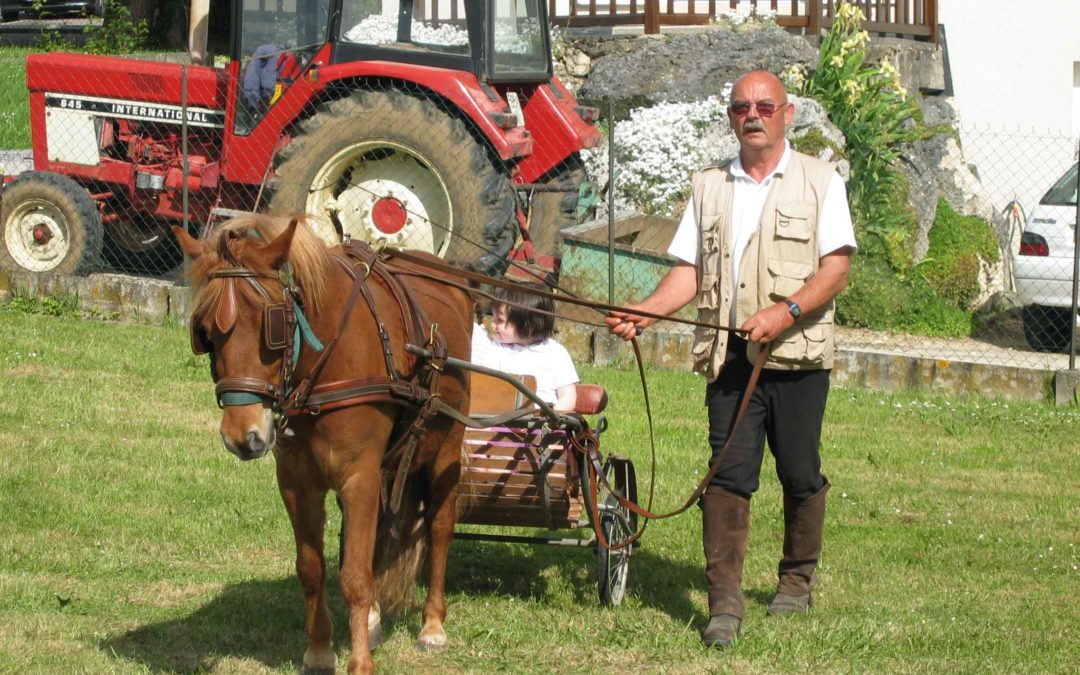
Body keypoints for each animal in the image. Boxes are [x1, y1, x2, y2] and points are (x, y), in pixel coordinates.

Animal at [173, 212, 473, 669]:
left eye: (271, 327)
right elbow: (313, 568)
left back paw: (433, 625)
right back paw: (373, 620)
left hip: (445, 449)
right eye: (204, 331)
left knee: (439, 528)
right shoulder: (298, 483)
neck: (325, 363)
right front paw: (319, 651)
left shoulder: (359, 478)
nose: (242, 437)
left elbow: (355, 576)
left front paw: (361, 664)